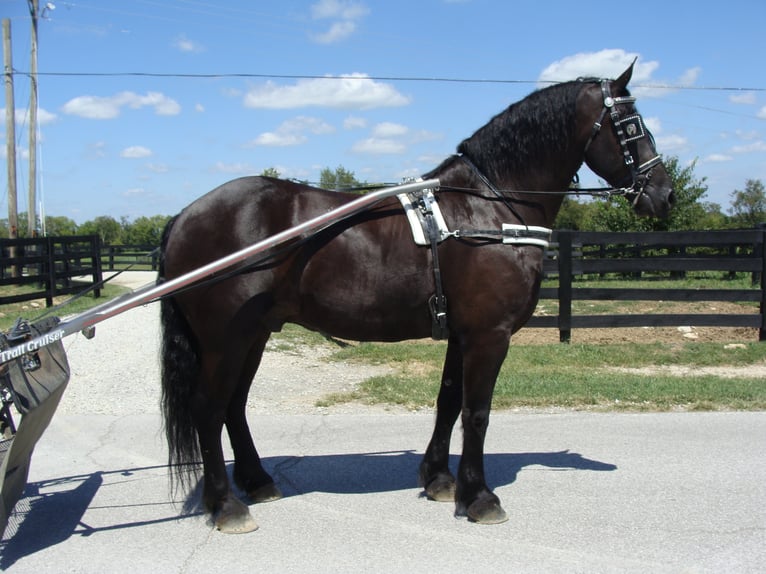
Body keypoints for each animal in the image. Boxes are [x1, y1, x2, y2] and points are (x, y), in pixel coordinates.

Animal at [159, 63, 676, 536]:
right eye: (631, 125)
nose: (665, 195)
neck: (487, 206)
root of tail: (184, 215)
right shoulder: (489, 335)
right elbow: (477, 412)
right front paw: (479, 497)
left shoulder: (461, 333)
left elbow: (448, 401)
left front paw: (440, 480)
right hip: (226, 340)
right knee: (208, 408)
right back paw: (227, 505)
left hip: (254, 335)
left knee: (234, 406)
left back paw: (257, 482)